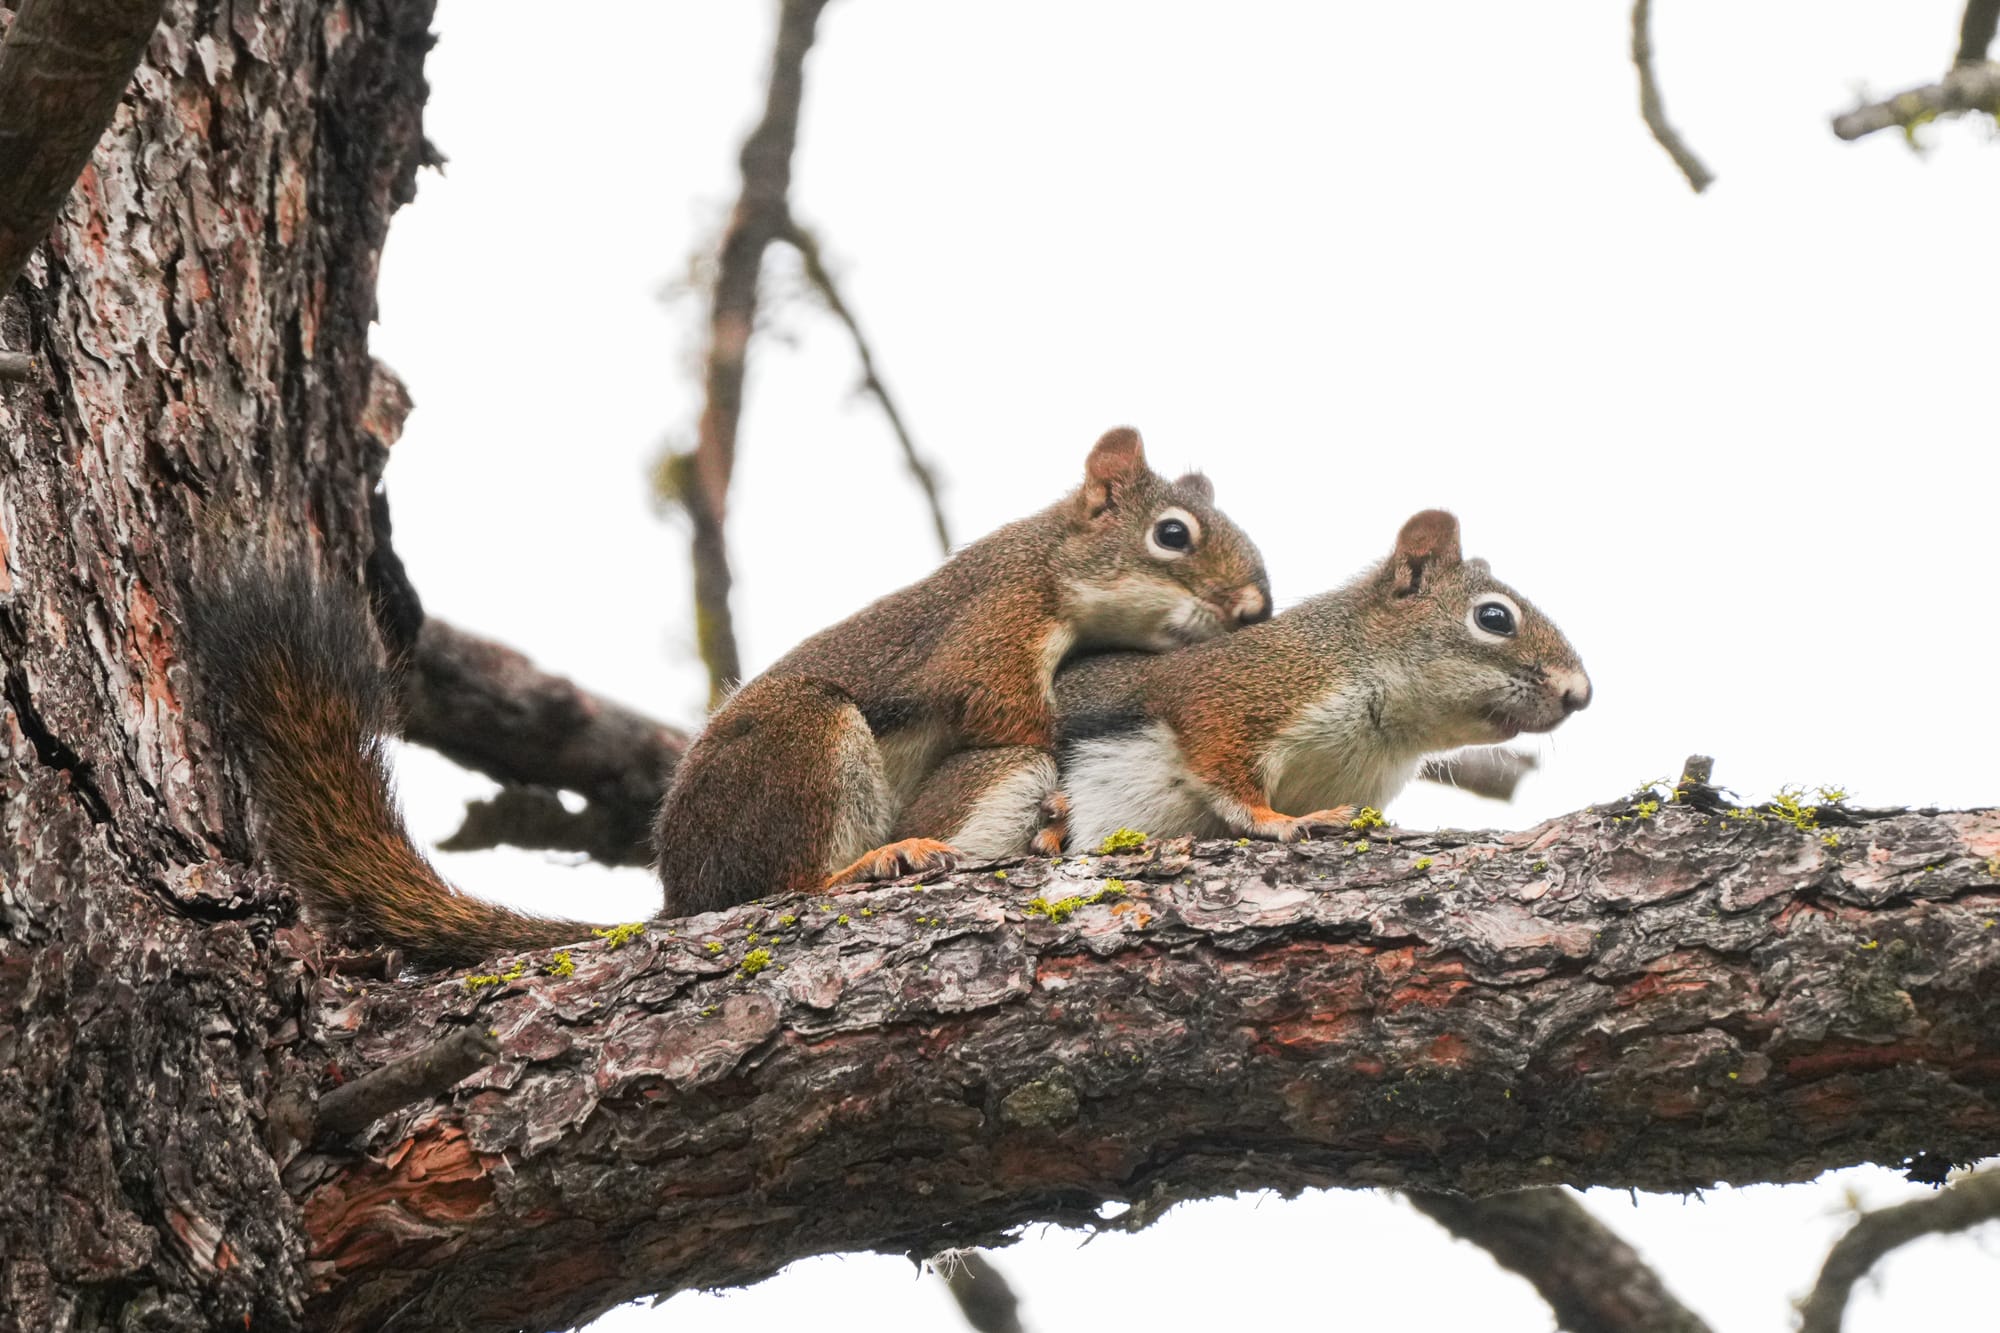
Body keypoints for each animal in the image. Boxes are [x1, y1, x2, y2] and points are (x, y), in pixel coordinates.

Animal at [183, 428, 1272, 967]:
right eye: (1172, 535)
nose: (1256, 608)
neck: (1056, 574)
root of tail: (678, 892)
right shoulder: (989, 636)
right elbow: (1018, 720)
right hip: (805, 746)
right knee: (782, 886)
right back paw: (870, 861)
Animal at [890, 509, 1590, 857]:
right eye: (1494, 618)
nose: (1580, 694)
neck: (1384, 736)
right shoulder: (1240, 688)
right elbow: (1223, 770)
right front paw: (1276, 822)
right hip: (1003, 776)